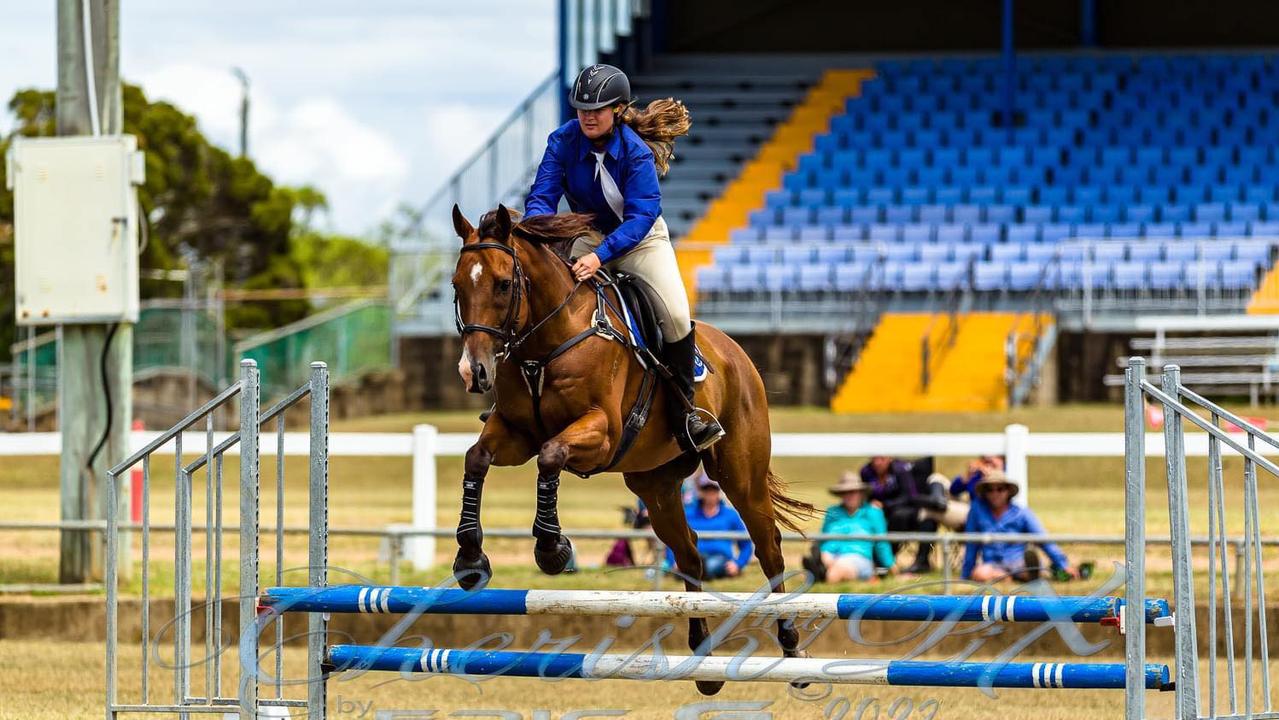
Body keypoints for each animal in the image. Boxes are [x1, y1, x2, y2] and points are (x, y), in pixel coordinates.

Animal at [445, 202, 813, 690]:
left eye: (504, 284)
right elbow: (477, 459)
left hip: (739, 475)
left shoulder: (602, 432)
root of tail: (735, 351)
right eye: (456, 285)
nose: (475, 372)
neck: (544, 343)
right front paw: (471, 558)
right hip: (655, 486)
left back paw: (791, 648)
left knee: (767, 547)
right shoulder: (515, 433)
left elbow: (551, 456)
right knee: (690, 552)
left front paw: (552, 549)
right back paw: (703, 659)